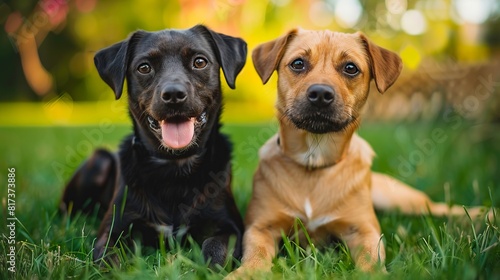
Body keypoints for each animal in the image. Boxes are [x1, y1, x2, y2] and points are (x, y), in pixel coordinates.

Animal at [60, 25, 246, 266]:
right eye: (144, 67)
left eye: (200, 62)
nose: (174, 95)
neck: (175, 168)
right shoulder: (113, 231)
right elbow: (109, 259)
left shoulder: (230, 226)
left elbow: (216, 248)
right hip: (99, 163)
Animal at [232, 29, 490, 276]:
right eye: (298, 63)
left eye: (350, 68)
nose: (320, 94)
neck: (314, 162)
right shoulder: (260, 227)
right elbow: (256, 255)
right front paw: (245, 273)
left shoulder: (364, 230)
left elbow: (370, 259)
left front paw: (374, 274)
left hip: (400, 199)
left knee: (439, 208)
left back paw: (485, 215)